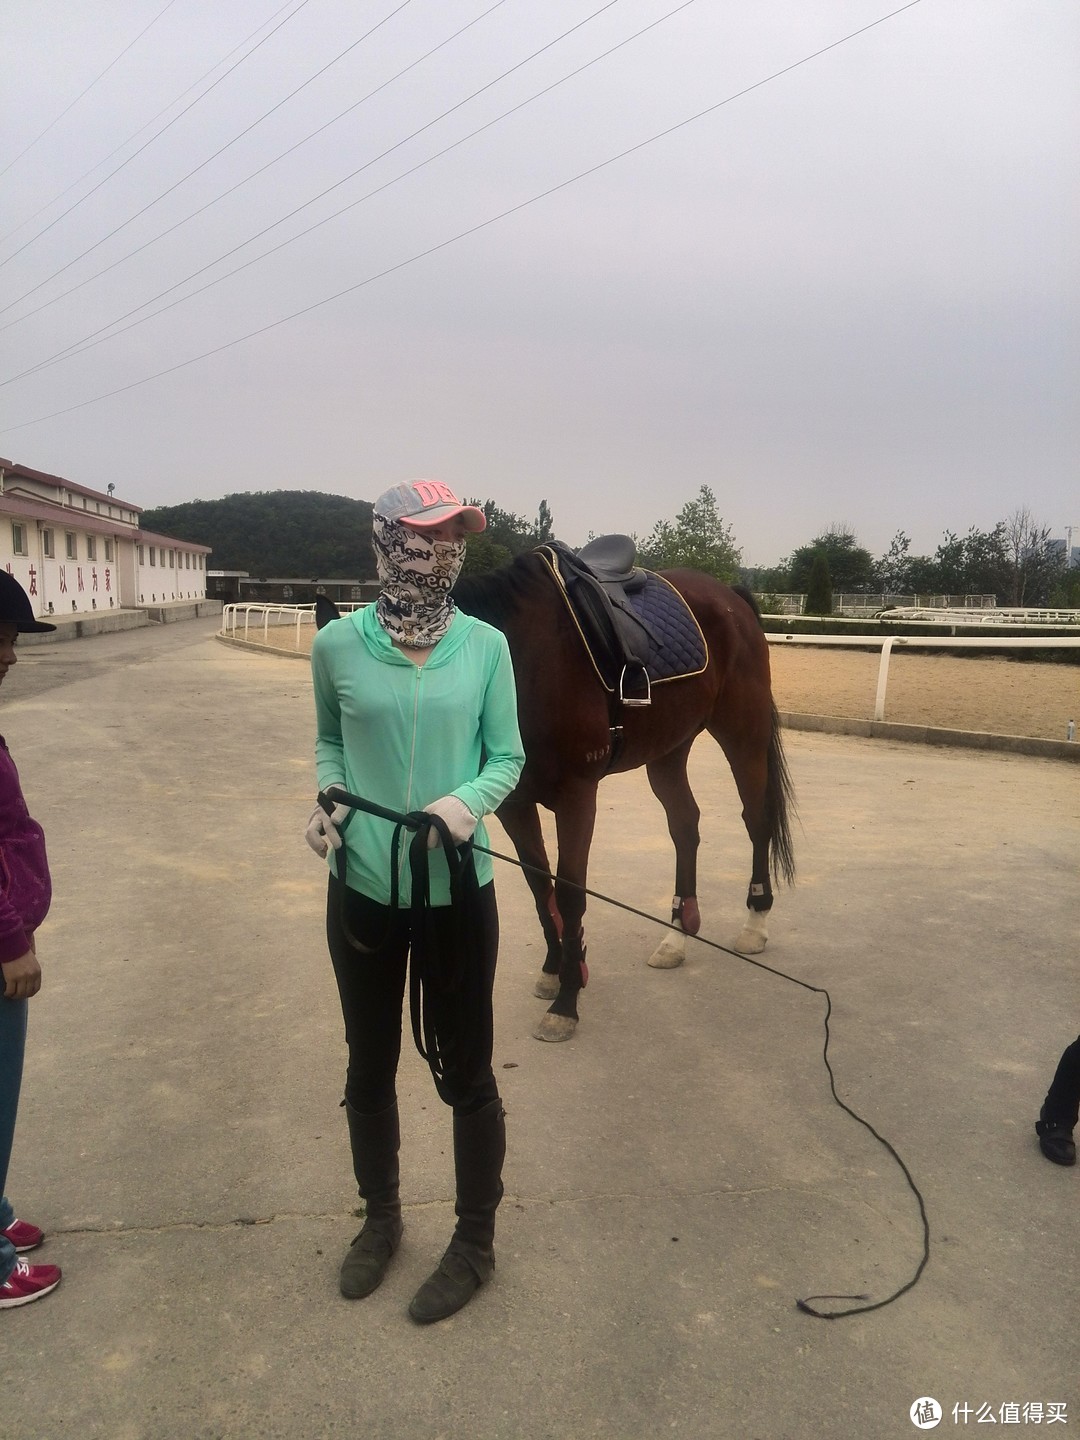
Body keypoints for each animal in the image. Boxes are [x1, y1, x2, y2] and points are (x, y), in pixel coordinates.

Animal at [449, 544, 794, 1042]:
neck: (523, 656)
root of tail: (730, 596)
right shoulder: (514, 803)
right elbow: (539, 885)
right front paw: (555, 968)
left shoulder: (576, 797)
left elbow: (570, 892)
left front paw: (566, 1002)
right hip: (669, 750)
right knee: (685, 826)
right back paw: (677, 934)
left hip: (742, 734)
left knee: (756, 820)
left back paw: (754, 923)